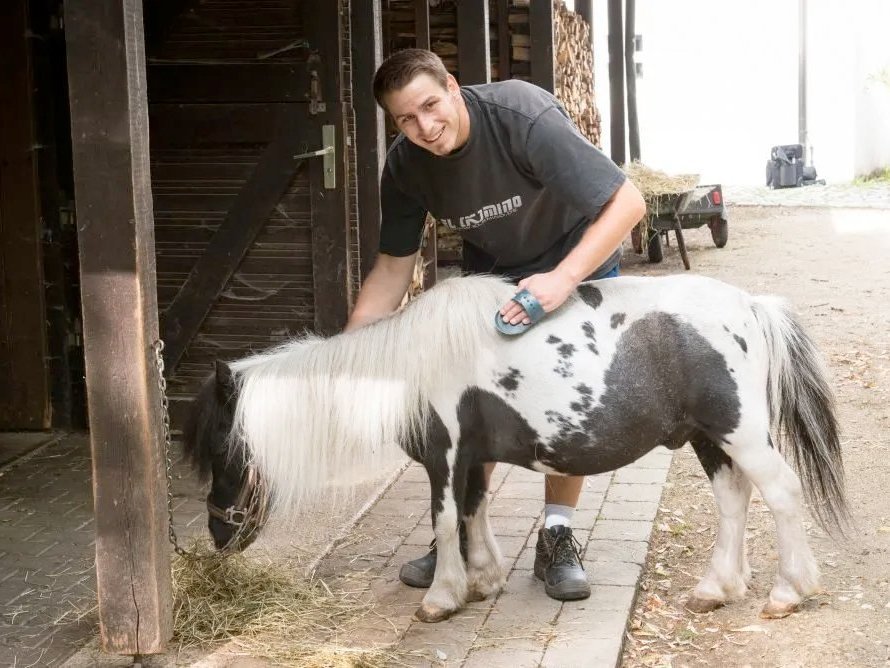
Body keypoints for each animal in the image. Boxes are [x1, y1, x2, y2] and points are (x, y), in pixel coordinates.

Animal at [180, 272, 848, 620]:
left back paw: (789, 591)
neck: (407, 369)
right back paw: (716, 588)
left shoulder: (446, 455)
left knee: (781, 494)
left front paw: (443, 597)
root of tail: (751, 306)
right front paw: (482, 581)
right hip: (709, 438)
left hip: (739, 433)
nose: (216, 536)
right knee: (734, 499)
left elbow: (446, 519)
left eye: (219, 449)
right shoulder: (473, 458)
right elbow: (473, 513)